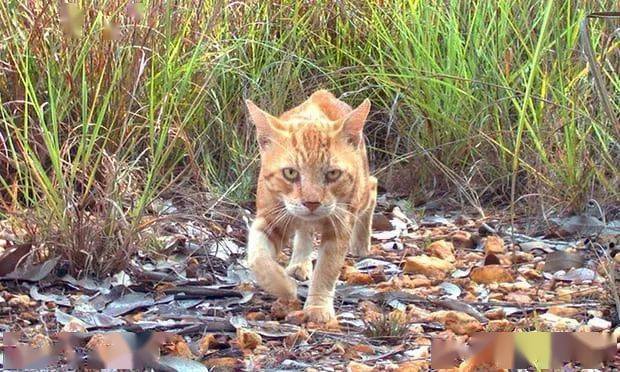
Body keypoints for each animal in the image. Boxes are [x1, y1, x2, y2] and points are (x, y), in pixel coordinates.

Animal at [245, 89, 376, 322]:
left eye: (333, 174)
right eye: (290, 173)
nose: (312, 202)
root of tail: (322, 94)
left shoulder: (339, 227)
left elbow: (326, 269)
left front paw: (318, 307)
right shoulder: (269, 218)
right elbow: (258, 258)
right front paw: (285, 287)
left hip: (361, 194)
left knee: (374, 186)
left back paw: (361, 243)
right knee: (304, 233)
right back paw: (299, 263)